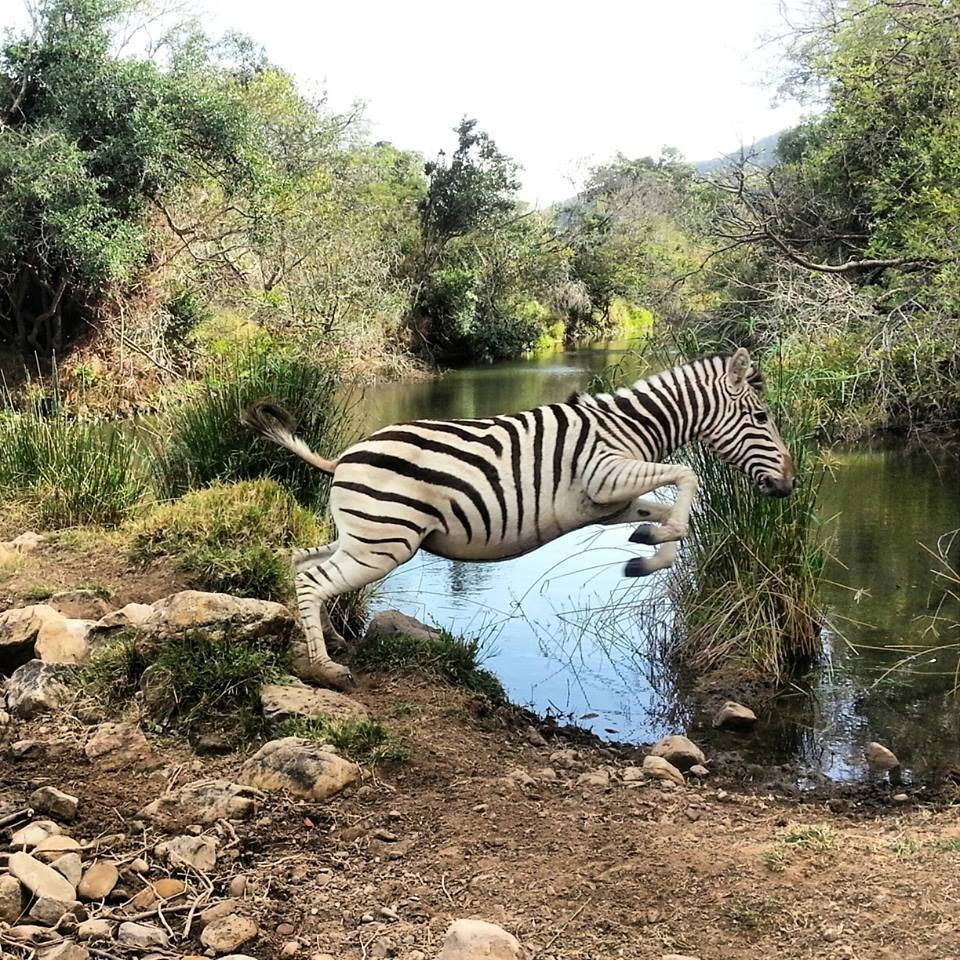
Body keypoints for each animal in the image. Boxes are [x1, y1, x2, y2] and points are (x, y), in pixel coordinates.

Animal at [242, 348, 796, 688]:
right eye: (762, 418)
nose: (789, 485)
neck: (630, 428)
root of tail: (343, 457)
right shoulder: (604, 475)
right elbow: (687, 476)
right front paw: (655, 545)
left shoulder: (609, 503)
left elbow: (671, 511)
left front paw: (649, 544)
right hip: (384, 545)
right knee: (315, 578)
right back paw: (326, 668)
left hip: (361, 537)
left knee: (300, 562)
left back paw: (330, 640)